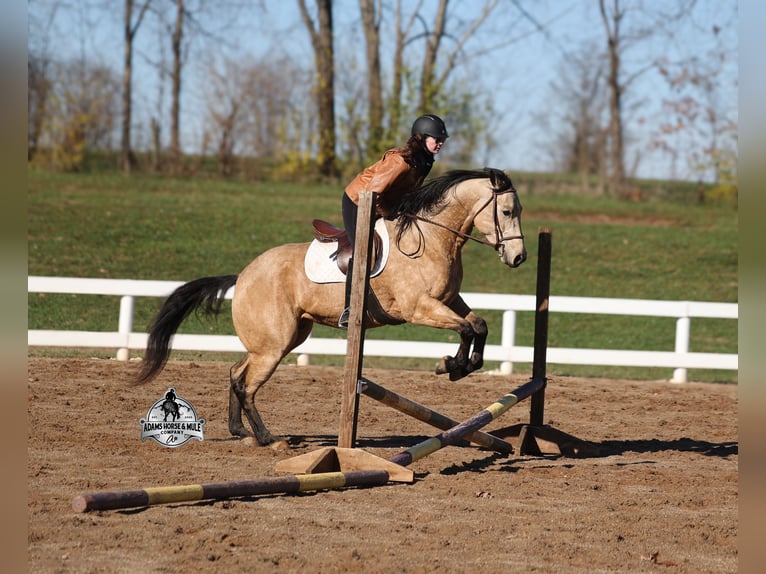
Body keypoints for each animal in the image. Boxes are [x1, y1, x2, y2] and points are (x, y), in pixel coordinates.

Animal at [135, 167, 526, 448]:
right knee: (247, 385)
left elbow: (478, 324)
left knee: (236, 372)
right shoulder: (418, 308)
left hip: (283, 339)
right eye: (507, 211)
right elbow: (465, 327)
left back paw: (239, 431)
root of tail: (243, 275)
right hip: (274, 345)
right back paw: (268, 439)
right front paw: (452, 365)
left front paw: (464, 366)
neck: (431, 239)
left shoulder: (447, 300)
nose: (519, 258)